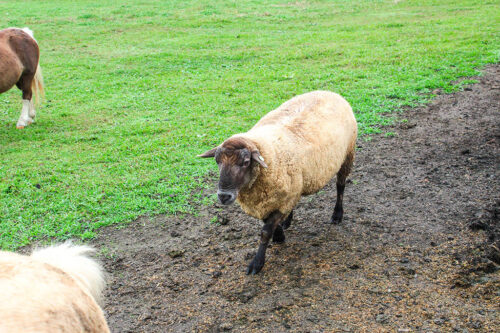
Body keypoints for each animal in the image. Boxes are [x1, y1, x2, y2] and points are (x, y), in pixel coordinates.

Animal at [197, 89, 358, 274]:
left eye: (245, 162)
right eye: (217, 161)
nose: (224, 196)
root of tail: (329, 92)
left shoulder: (279, 200)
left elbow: (265, 232)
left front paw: (258, 262)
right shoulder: (265, 201)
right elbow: (268, 223)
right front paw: (280, 233)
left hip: (347, 155)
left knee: (340, 186)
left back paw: (337, 214)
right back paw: (288, 220)